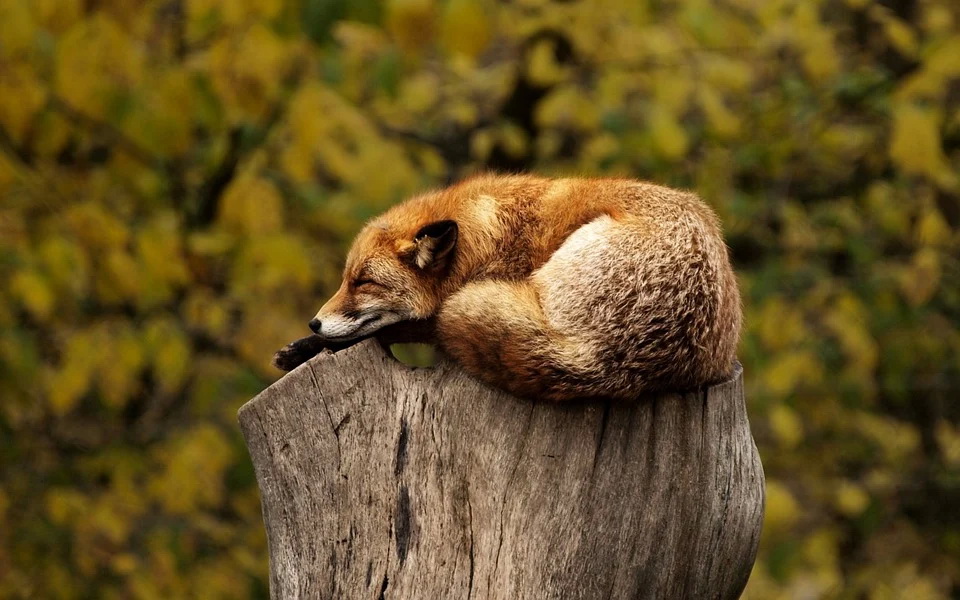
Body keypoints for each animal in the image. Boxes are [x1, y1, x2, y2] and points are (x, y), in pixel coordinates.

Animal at [273, 173, 741, 401]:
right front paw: (302, 347)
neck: (485, 238)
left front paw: (308, 347)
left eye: (363, 282)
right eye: (345, 279)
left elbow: (399, 327)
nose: (314, 322)